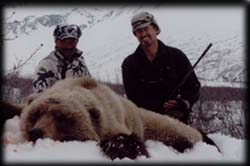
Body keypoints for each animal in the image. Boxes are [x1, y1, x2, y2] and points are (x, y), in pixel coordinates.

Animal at [3, 76, 219, 160]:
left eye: (62, 118)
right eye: (36, 114)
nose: (36, 132)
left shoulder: (112, 120)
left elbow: (127, 141)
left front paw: (119, 149)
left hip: (158, 125)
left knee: (180, 132)